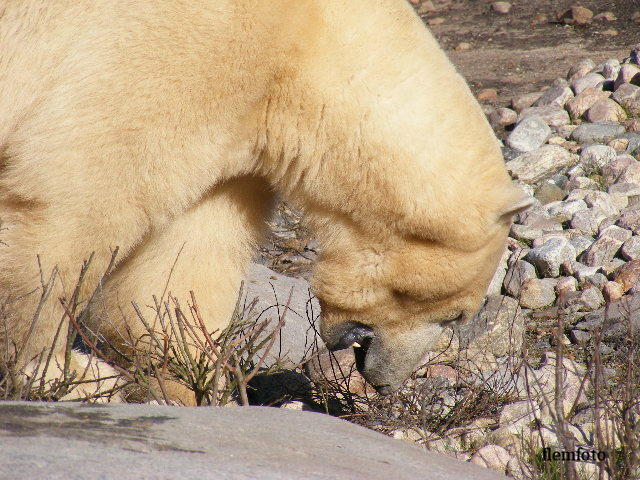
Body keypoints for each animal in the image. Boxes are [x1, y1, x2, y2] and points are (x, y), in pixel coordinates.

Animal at [0, 0, 528, 404]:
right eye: (456, 315)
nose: (387, 382)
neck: (310, 46)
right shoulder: (169, 55)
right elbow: (71, 199)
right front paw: (59, 374)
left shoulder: (240, 131)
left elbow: (178, 264)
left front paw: (192, 385)